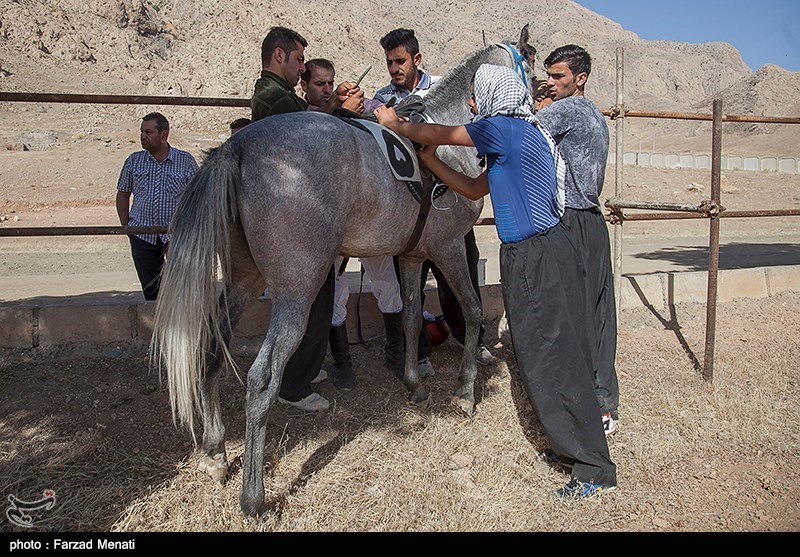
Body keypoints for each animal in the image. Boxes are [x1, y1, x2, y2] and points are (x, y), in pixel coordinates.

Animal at [152, 26, 536, 516]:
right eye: (533, 65)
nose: (537, 107)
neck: (445, 141)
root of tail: (237, 148)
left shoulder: (412, 257)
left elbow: (410, 320)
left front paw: (414, 384)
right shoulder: (448, 250)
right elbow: (469, 309)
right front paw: (466, 393)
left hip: (243, 281)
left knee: (211, 353)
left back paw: (216, 452)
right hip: (296, 294)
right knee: (261, 379)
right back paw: (254, 497)